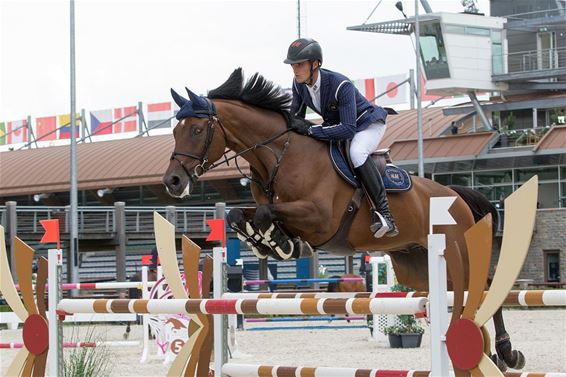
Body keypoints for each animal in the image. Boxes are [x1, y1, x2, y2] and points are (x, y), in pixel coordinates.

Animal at [164, 68, 528, 370]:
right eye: (175, 131)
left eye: (197, 129)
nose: (173, 182)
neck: (280, 156)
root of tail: (455, 194)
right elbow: (241, 213)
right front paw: (269, 241)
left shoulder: (320, 218)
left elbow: (270, 213)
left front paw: (279, 242)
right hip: (417, 267)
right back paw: (490, 353)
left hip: (456, 252)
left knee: (485, 286)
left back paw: (506, 353)